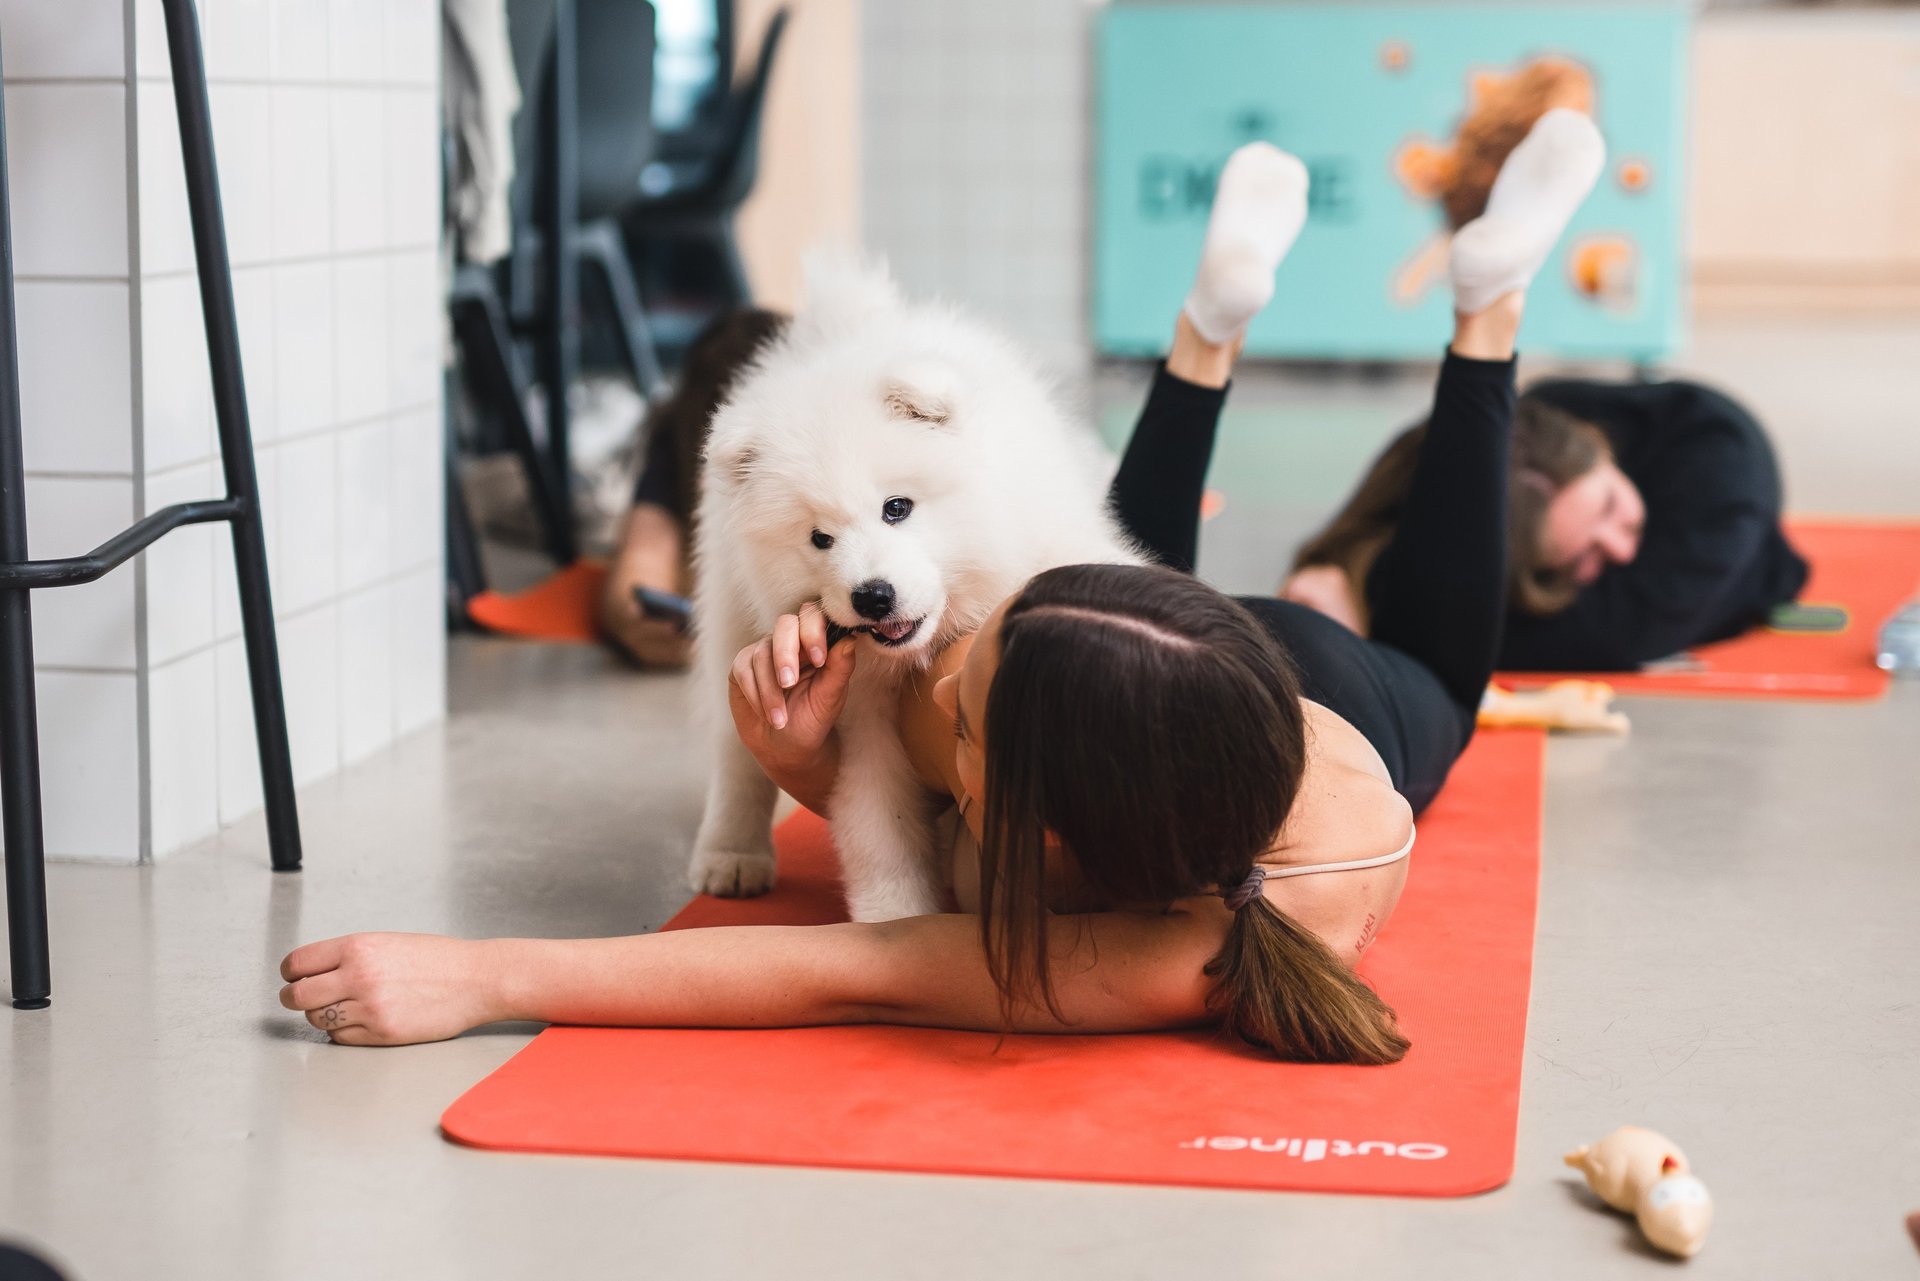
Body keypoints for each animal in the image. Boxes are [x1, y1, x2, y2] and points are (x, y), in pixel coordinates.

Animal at [691, 257, 1136, 921]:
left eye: (896, 508)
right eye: (819, 539)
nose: (872, 596)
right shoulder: (865, 716)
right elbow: (879, 822)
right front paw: (896, 919)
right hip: (733, 613)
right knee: (735, 750)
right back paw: (732, 856)